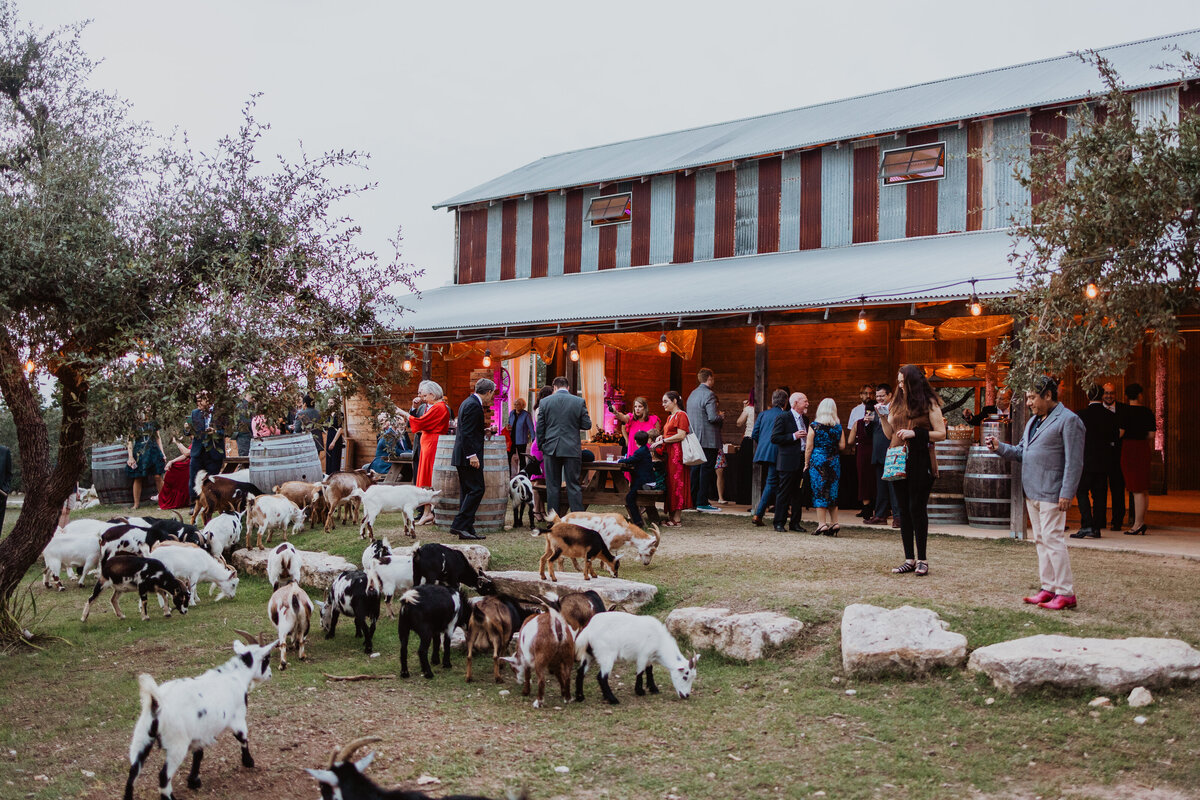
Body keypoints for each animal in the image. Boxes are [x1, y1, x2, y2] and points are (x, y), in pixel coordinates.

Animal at [123, 633, 274, 800]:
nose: (270, 674)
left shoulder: (200, 732)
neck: (235, 675)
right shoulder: (238, 718)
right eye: (267, 659)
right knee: (163, 776)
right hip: (176, 743)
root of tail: (156, 702)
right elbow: (243, 739)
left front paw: (193, 781)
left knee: (133, 771)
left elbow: (198, 754)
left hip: (142, 736)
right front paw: (248, 762)